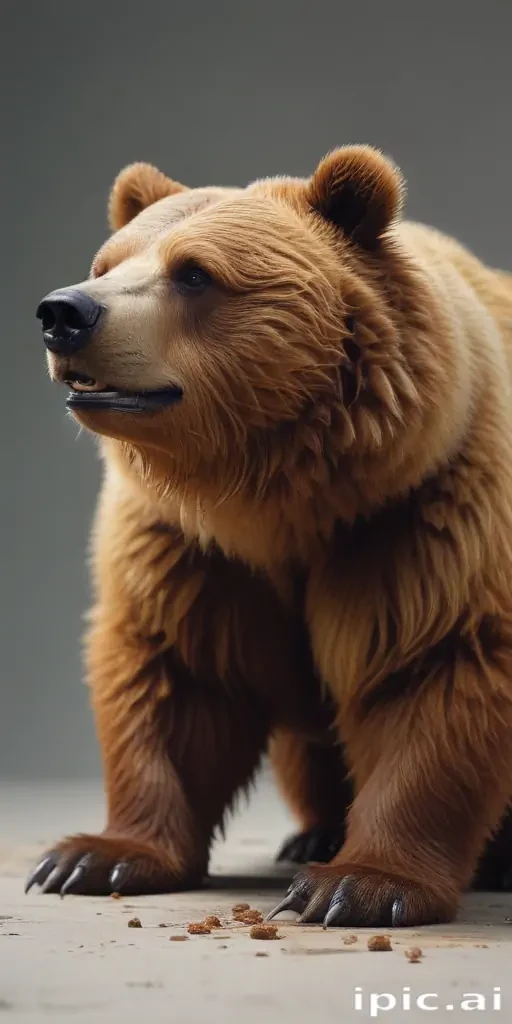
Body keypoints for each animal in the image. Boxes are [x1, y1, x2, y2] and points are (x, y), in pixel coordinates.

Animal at [27, 145, 512, 926]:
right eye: (107, 262)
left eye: (194, 271)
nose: (64, 312)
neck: (280, 501)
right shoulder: (189, 549)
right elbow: (175, 676)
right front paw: (92, 856)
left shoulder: (425, 513)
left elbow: (433, 667)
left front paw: (359, 885)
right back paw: (310, 835)